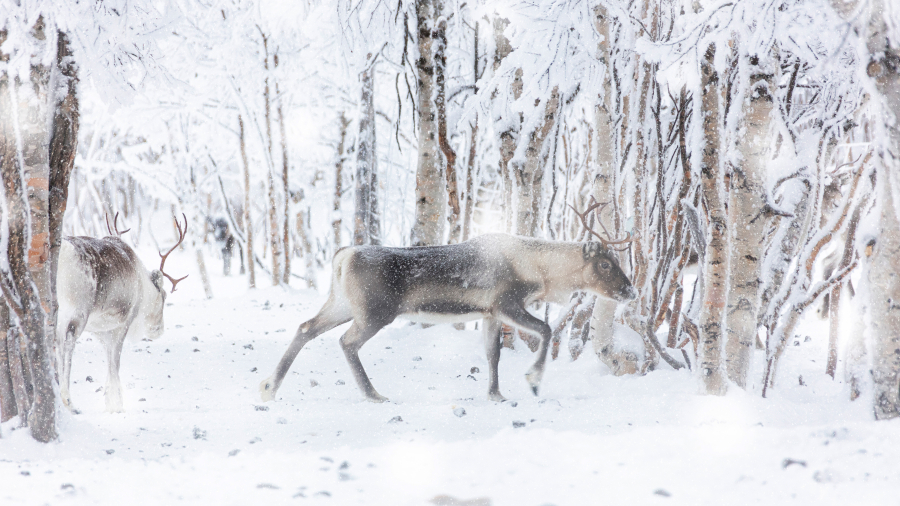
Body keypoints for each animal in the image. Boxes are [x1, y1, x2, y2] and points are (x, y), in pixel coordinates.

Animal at [56, 214, 188, 413]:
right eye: (164, 296)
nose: (159, 330)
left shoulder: (101, 331)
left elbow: (110, 361)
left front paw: (110, 401)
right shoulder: (124, 322)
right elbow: (115, 363)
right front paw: (117, 405)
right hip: (76, 311)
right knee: (67, 342)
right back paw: (68, 401)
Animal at [260, 201, 637, 404]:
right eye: (605, 264)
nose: (631, 291)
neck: (541, 271)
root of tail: (342, 255)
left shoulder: (489, 312)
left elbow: (492, 354)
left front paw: (496, 394)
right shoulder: (507, 302)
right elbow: (544, 329)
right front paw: (532, 380)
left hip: (342, 304)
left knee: (306, 327)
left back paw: (268, 387)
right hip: (375, 312)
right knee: (346, 341)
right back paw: (373, 394)